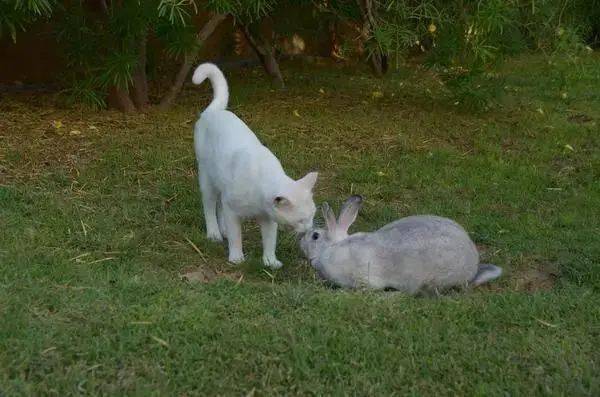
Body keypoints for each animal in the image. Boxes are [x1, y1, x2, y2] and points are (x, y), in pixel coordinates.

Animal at [191, 63, 318, 268]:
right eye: (301, 220)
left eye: (313, 215)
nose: (310, 228)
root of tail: (214, 111)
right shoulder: (233, 211)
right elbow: (236, 237)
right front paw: (236, 257)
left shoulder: (269, 219)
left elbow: (269, 241)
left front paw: (270, 261)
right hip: (207, 180)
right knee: (209, 207)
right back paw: (214, 234)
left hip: (221, 184)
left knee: (219, 206)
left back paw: (223, 230)